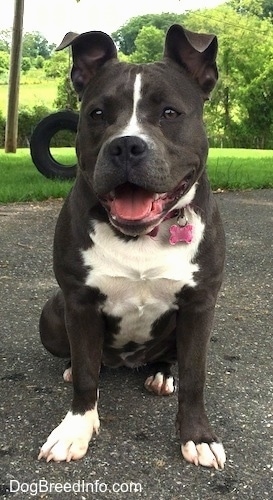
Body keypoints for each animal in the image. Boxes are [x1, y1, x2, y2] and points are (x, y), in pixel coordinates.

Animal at [37, 23, 225, 468]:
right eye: (97, 114)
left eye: (170, 113)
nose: (126, 145)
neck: (141, 234)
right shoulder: (79, 302)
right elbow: (86, 377)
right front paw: (75, 429)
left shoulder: (200, 304)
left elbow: (196, 376)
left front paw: (199, 438)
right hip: (52, 313)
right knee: (86, 361)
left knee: (170, 359)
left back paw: (160, 374)